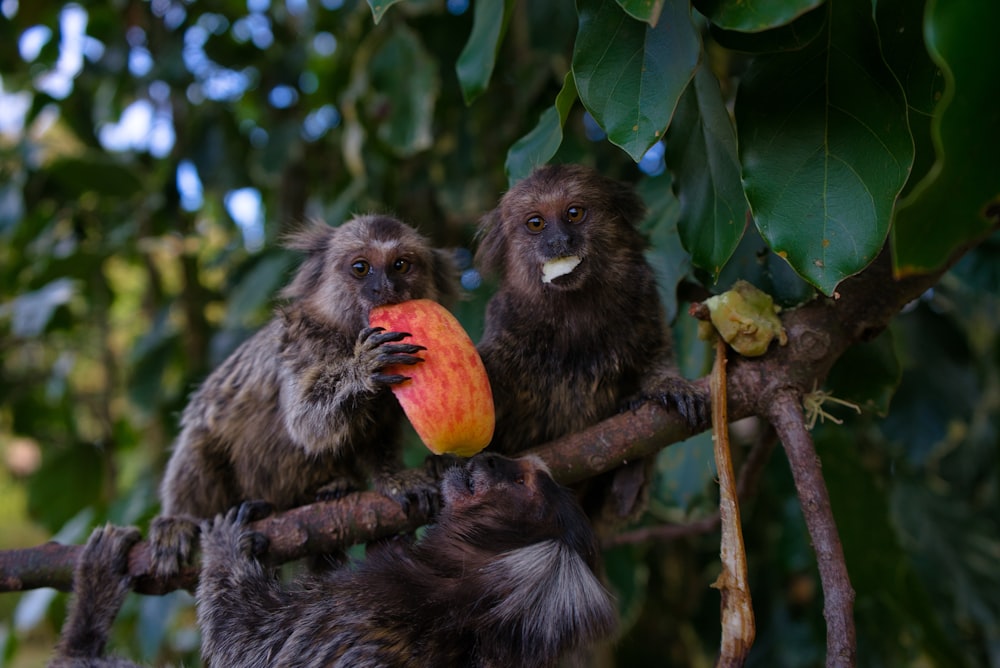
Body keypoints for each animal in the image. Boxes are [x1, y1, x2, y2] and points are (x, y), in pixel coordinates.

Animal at [147, 213, 458, 576]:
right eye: (361, 268)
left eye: (400, 265)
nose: (386, 288)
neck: (346, 336)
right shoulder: (303, 345)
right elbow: (306, 424)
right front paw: (362, 368)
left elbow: (378, 435)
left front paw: (394, 478)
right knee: (199, 442)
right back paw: (179, 521)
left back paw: (334, 487)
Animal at [474, 162, 704, 520]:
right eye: (536, 223)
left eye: (574, 213)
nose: (558, 241)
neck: (575, 309)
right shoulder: (507, 321)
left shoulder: (643, 297)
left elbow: (656, 356)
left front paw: (667, 386)